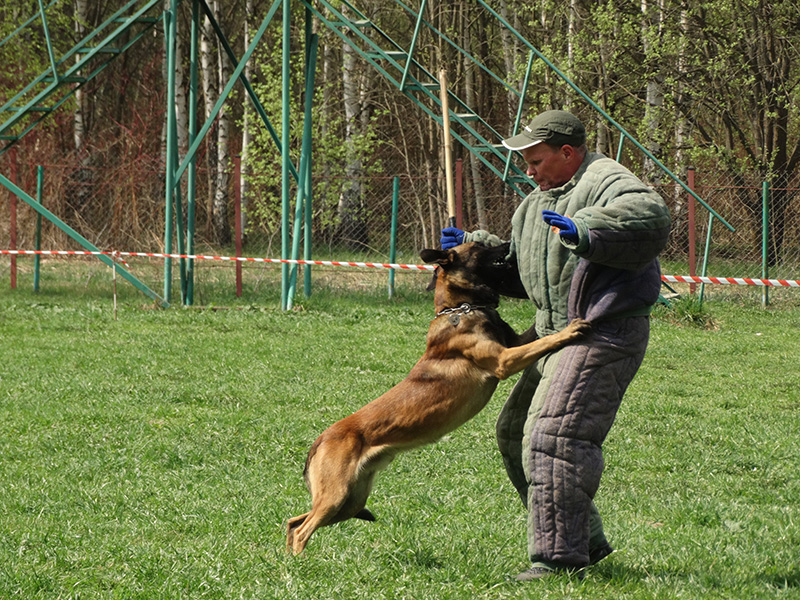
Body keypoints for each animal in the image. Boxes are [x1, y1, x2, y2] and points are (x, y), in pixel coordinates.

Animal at [284, 243, 592, 552]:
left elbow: (535, 332)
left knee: (294, 521)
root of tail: (320, 440)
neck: (460, 309)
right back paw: (301, 561)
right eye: (480, 247)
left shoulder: (514, 344)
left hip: (350, 501)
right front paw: (570, 329)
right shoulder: (504, 360)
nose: (506, 243)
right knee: (302, 529)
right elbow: (543, 341)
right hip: (336, 497)